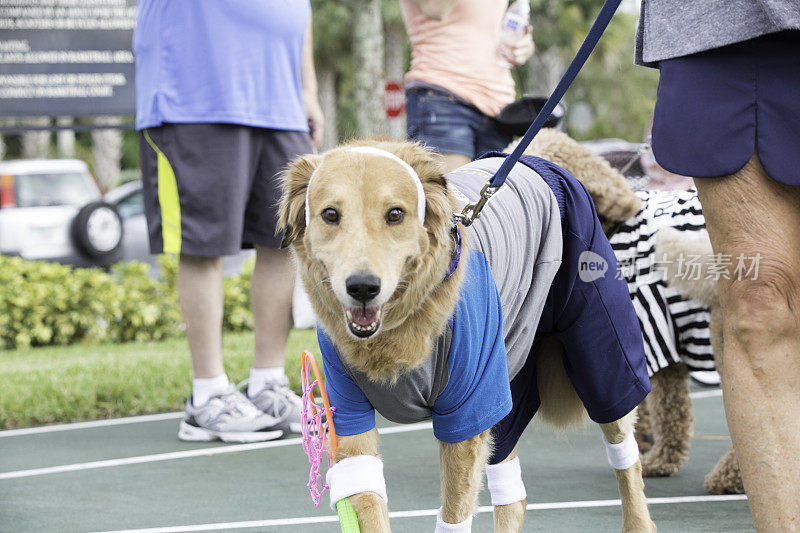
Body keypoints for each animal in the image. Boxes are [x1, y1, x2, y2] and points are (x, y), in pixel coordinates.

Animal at [278, 139, 652, 528]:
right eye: (330, 215)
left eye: (395, 214)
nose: (362, 287)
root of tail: (538, 156)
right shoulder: (349, 416)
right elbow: (368, 503)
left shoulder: (467, 414)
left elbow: (454, 515)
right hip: (506, 386)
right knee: (513, 494)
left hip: (600, 365)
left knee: (624, 452)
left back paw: (639, 521)